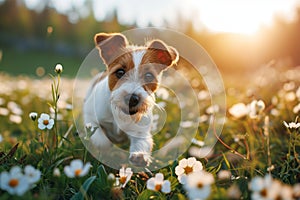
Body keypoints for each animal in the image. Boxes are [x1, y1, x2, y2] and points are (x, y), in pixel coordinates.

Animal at [83, 33, 178, 167]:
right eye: (120, 72)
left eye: (149, 76)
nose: (132, 99)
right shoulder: (91, 118)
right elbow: (101, 140)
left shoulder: (140, 131)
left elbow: (142, 142)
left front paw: (139, 156)